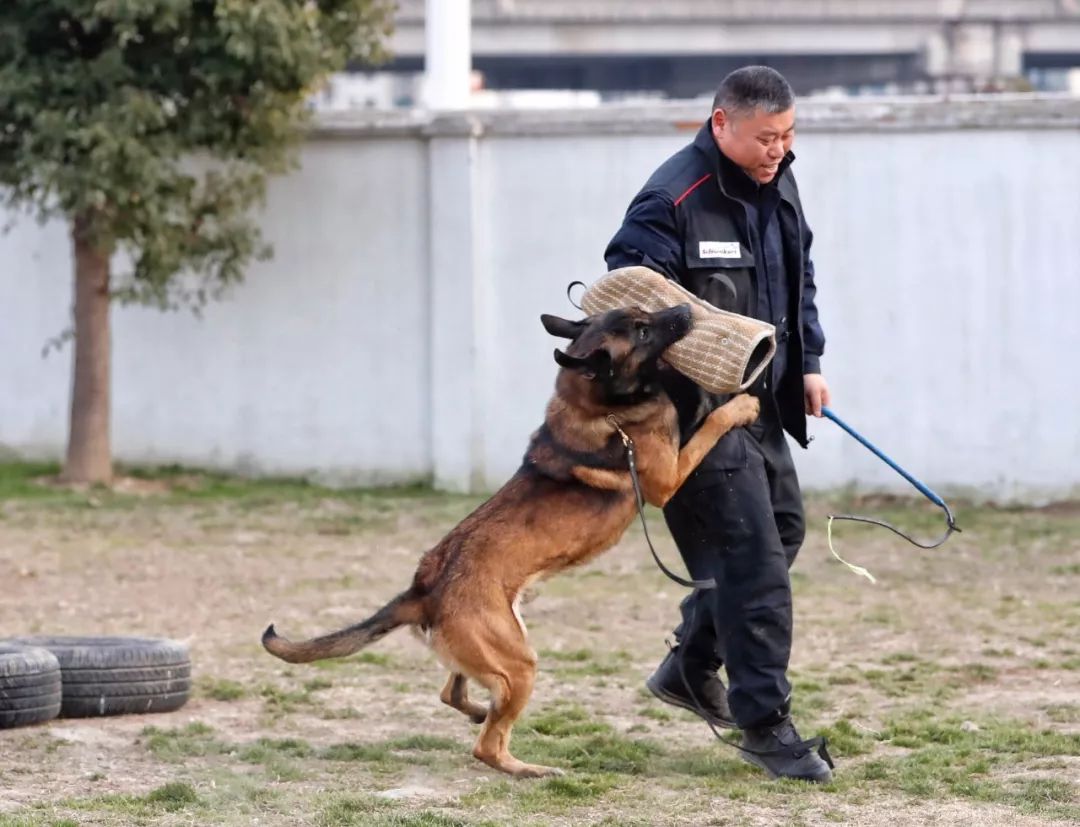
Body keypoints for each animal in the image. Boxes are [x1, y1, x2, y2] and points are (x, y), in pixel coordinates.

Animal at [263, 302, 760, 777]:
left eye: (645, 315)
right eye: (642, 330)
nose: (687, 310)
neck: (601, 407)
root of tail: (424, 589)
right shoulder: (667, 478)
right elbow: (708, 426)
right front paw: (739, 406)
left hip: (494, 655)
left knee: (454, 693)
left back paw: (480, 712)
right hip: (520, 663)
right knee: (487, 744)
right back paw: (528, 769)